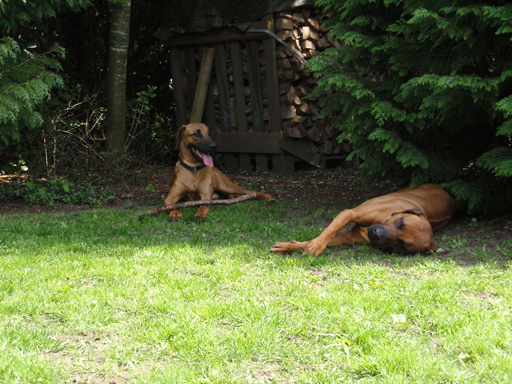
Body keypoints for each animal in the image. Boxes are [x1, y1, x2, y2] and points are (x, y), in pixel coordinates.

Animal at [270, 185, 462, 256]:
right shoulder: (349, 213)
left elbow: (321, 239)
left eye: (401, 244)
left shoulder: (347, 237)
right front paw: (312, 245)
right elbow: (326, 232)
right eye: (400, 222)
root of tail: (454, 201)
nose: (376, 233)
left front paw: (293, 246)